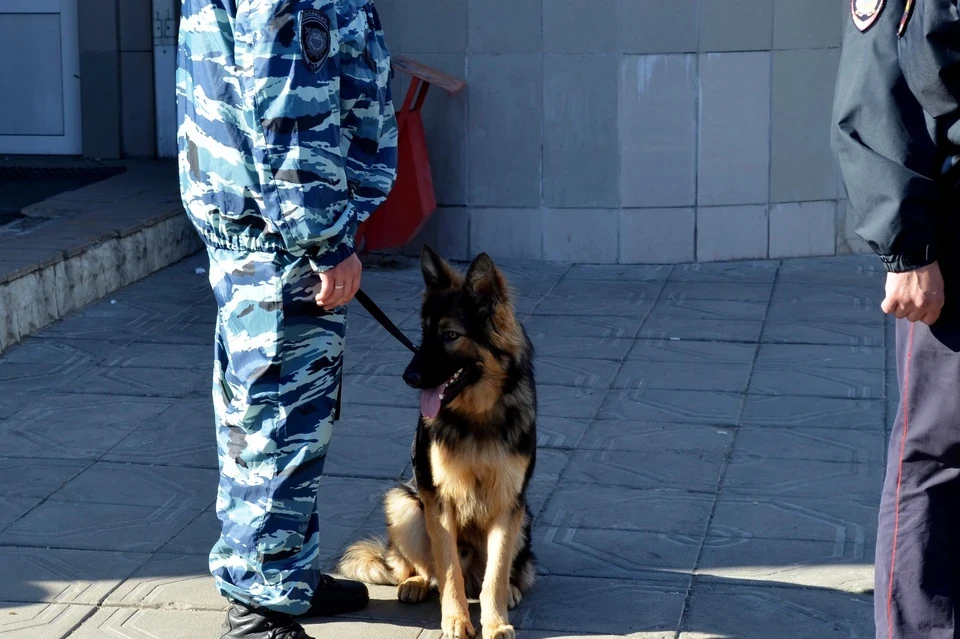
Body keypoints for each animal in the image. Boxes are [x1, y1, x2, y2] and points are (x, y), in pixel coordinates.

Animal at [338, 246, 536, 639]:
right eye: (424, 333)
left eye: (450, 334)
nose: (408, 377)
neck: (477, 416)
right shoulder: (439, 501)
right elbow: (448, 571)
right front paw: (456, 619)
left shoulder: (509, 502)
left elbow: (496, 572)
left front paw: (495, 621)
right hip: (405, 504)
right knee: (427, 569)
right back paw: (414, 583)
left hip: (524, 519)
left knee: (501, 571)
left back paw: (510, 588)